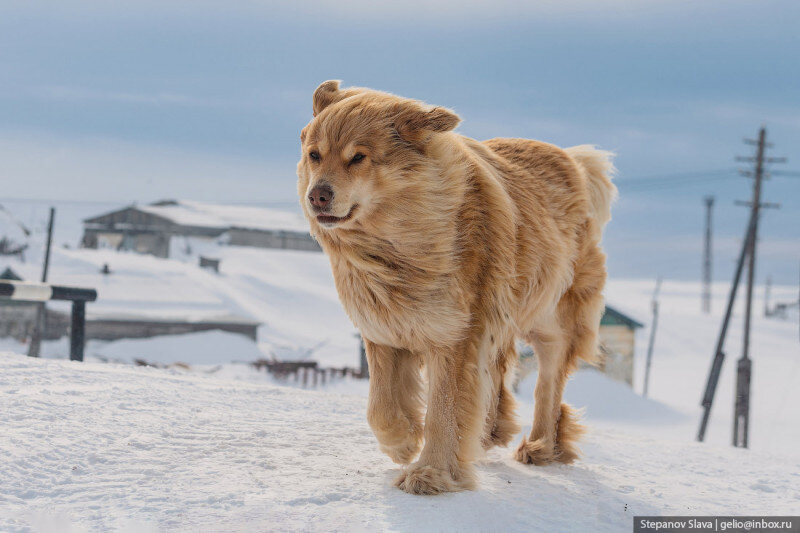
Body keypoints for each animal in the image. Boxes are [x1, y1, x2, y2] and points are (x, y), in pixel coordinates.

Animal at [296, 80, 616, 494]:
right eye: (315, 155)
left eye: (359, 158)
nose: (317, 195)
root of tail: (573, 160)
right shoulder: (382, 325)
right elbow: (380, 406)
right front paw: (402, 441)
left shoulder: (456, 334)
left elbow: (445, 410)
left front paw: (430, 473)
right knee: (499, 370)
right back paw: (492, 432)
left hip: (548, 310)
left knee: (550, 372)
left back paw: (541, 445)